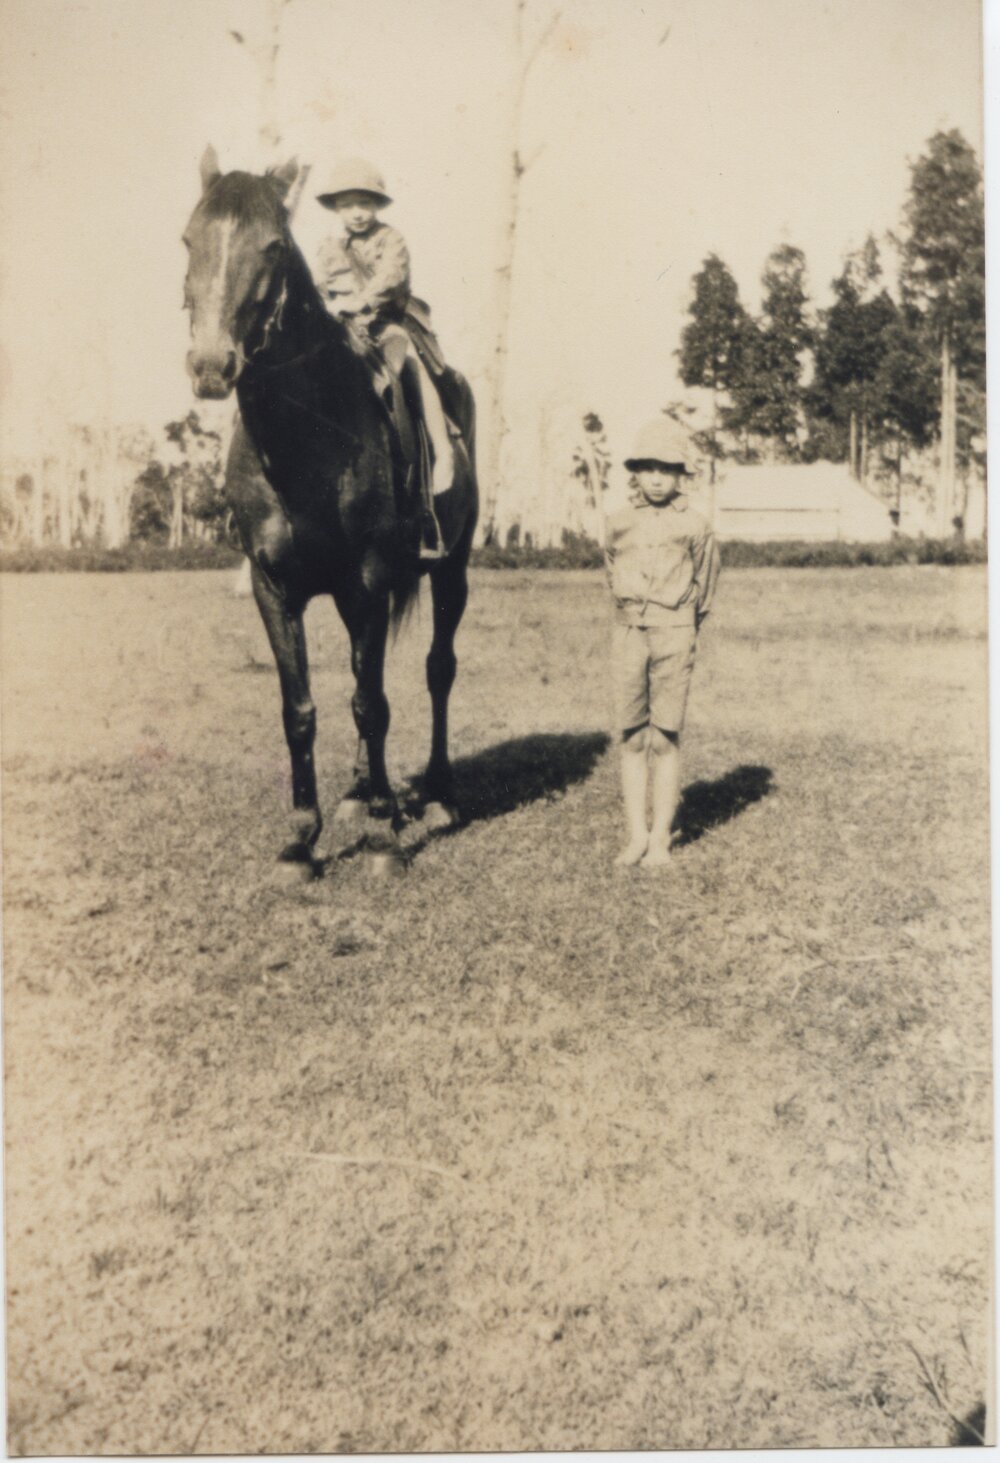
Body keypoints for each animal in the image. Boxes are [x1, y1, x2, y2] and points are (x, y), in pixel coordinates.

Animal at [182, 147, 478, 871]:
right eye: (189, 240)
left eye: (271, 245)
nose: (211, 365)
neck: (306, 445)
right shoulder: (275, 589)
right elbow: (303, 707)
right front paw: (302, 834)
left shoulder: (369, 582)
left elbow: (372, 704)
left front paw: (388, 835)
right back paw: (361, 792)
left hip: (452, 569)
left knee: (437, 671)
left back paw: (434, 792)